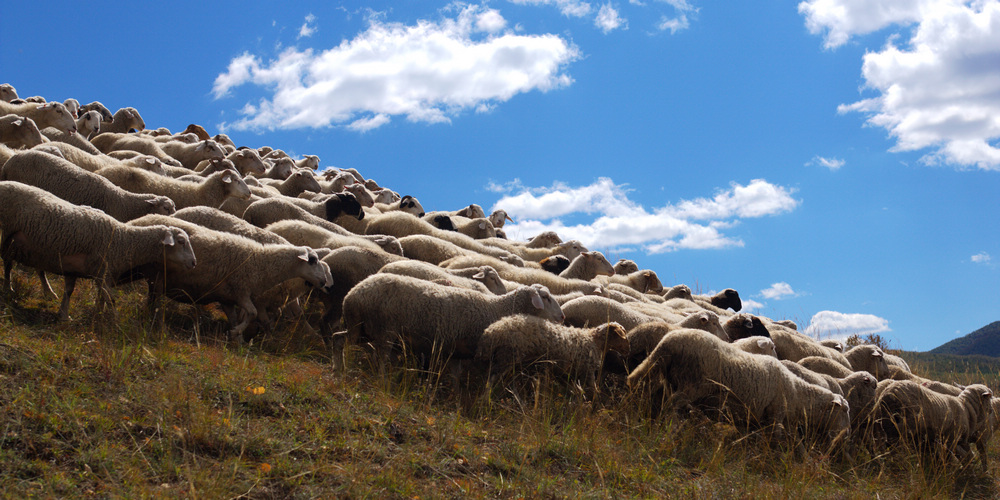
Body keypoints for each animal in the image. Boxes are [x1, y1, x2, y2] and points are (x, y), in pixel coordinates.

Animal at [0, 181, 197, 320]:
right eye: (181, 241)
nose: (194, 263)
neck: (124, 240)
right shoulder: (102, 272)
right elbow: (110, 299)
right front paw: (116, 322)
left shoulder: (78, 268)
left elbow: (71, 291)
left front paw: (65, 315)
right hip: (6, 235)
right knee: (7, 265)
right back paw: (8, 289)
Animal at [336, 274, 568, 372]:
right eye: (545, 297)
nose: (562, 317)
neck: (497, 309)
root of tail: (353, 294)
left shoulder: (458, 351)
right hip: (385, 331)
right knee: (380, 359)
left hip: (360, 328)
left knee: (341, 342)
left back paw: (340, 367)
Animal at [628, 328, 848, 442]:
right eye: (845, 411)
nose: (845, 436)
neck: (796, 392)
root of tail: (668, 342)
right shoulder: (775, 415)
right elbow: (775, 441)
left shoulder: (752, 419)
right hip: (692, 383)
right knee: (674, 403)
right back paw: (670, 431)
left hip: (668, 378)